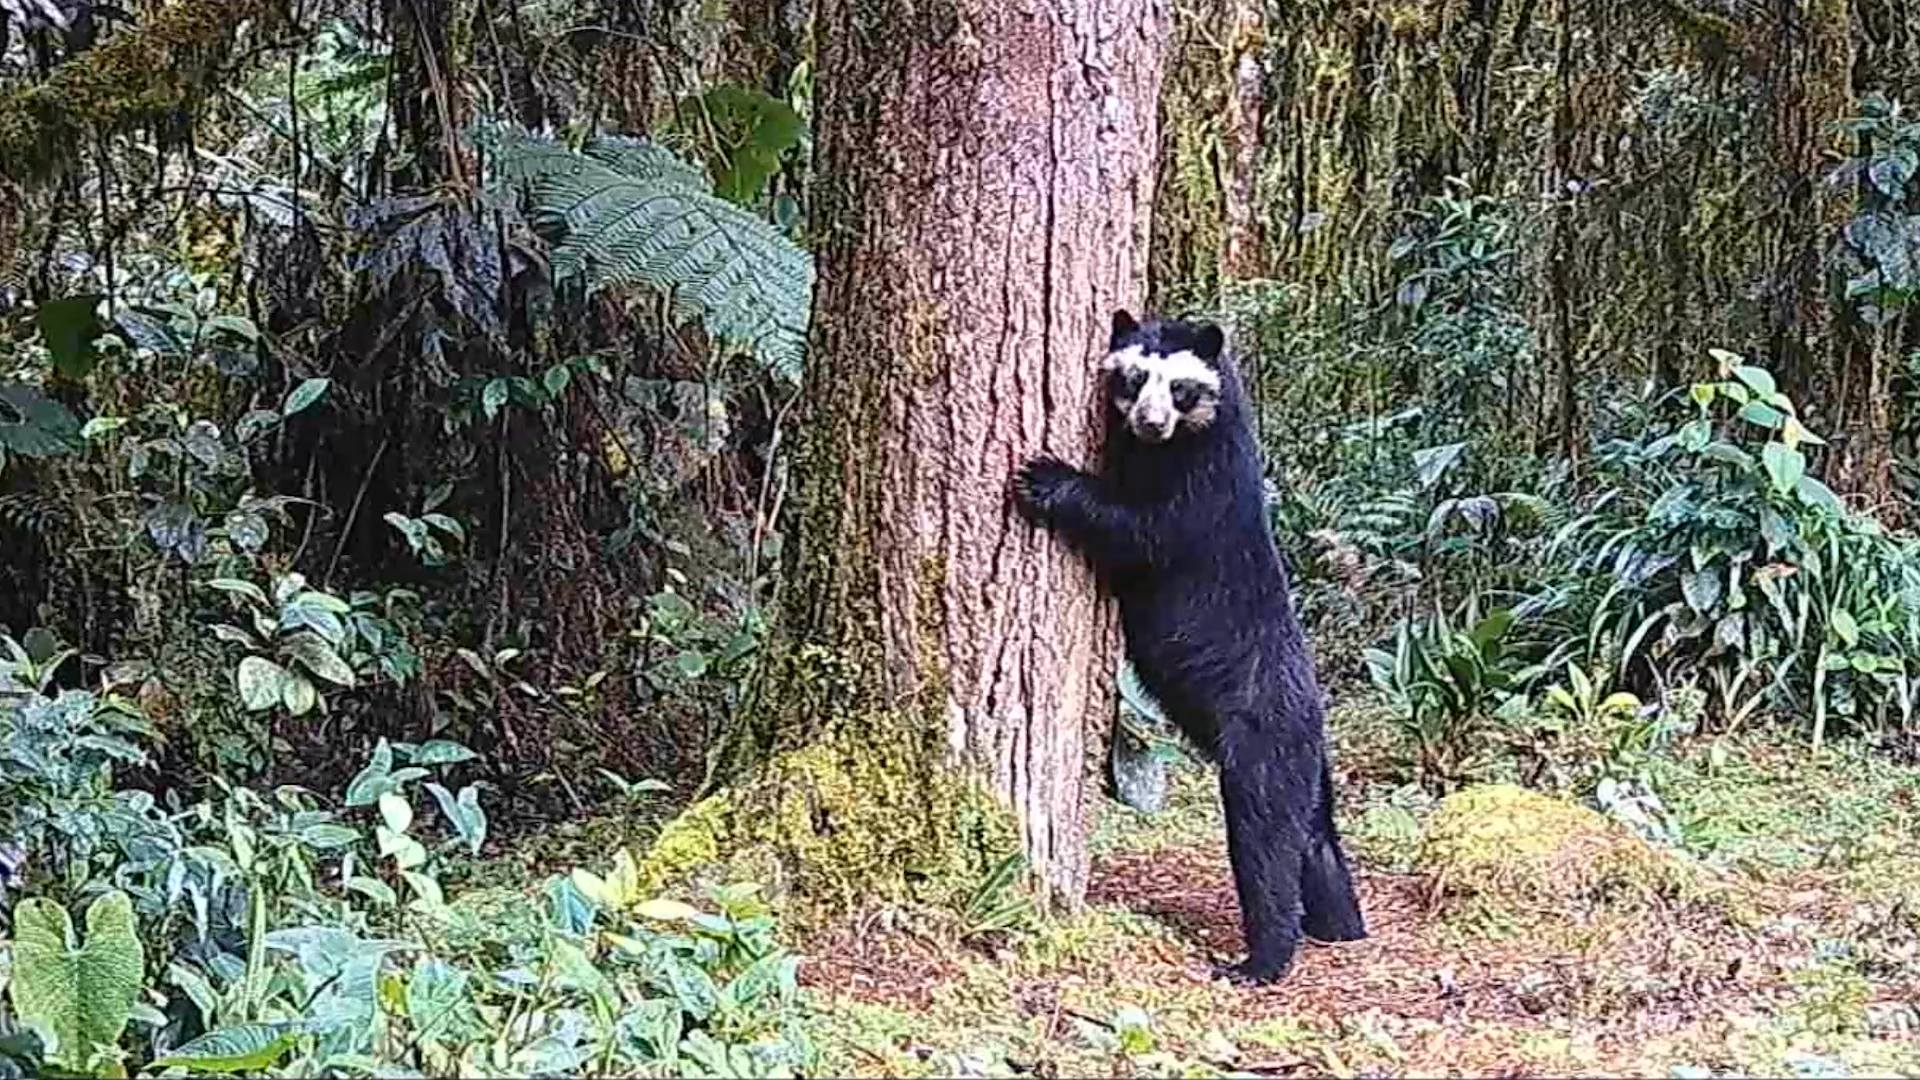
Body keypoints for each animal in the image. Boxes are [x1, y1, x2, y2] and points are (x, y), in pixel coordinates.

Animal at [1021, 307, 1367, 980]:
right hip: (1306, 766)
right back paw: (1342, 929)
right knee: (1316, 838)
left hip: (1259, 745)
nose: (1150, 422)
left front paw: (1044, 477)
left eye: (1179, 387)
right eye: (1134, 376)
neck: (1176, 446)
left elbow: (1140, 529)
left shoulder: (1202, 493)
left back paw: (1260, 960)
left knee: (1266, 842)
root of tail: (1312, 716)